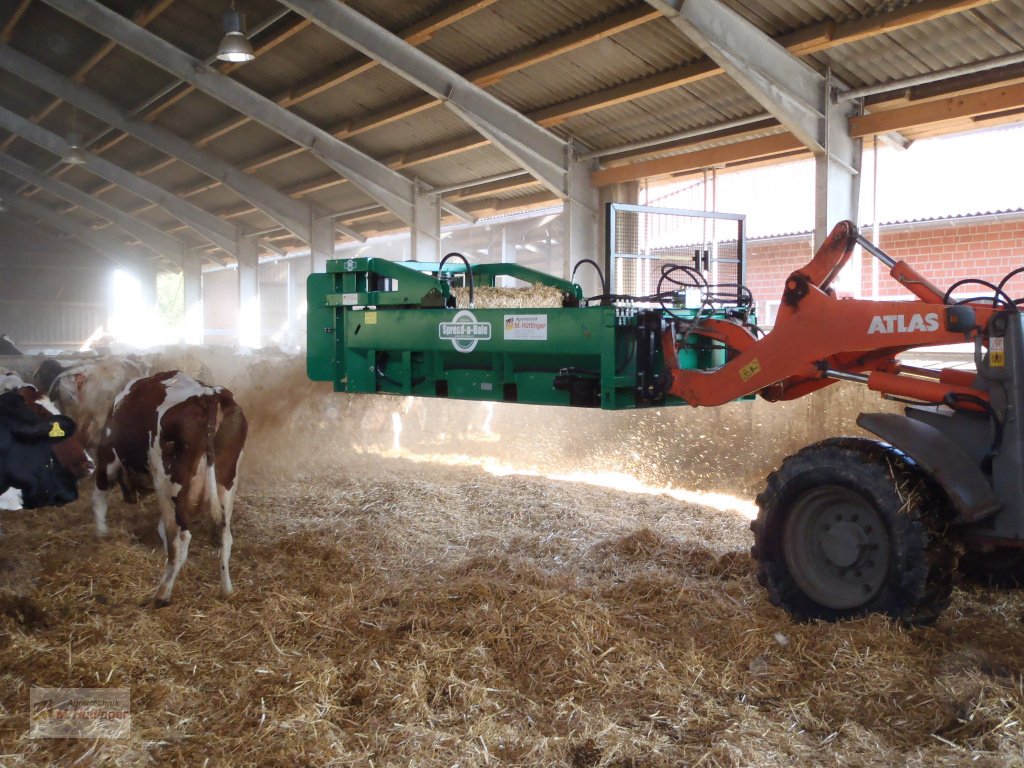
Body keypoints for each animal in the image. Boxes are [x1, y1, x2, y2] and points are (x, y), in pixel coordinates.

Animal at [94, 372, 249, 606]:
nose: (131, 497)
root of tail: (209, 396)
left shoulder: (108, 456)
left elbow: (99, 497)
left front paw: (101, 533)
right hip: (227, 480)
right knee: (224, 535)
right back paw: (226, 590)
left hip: (169, 485)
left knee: (180, 539)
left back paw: (162, 594)